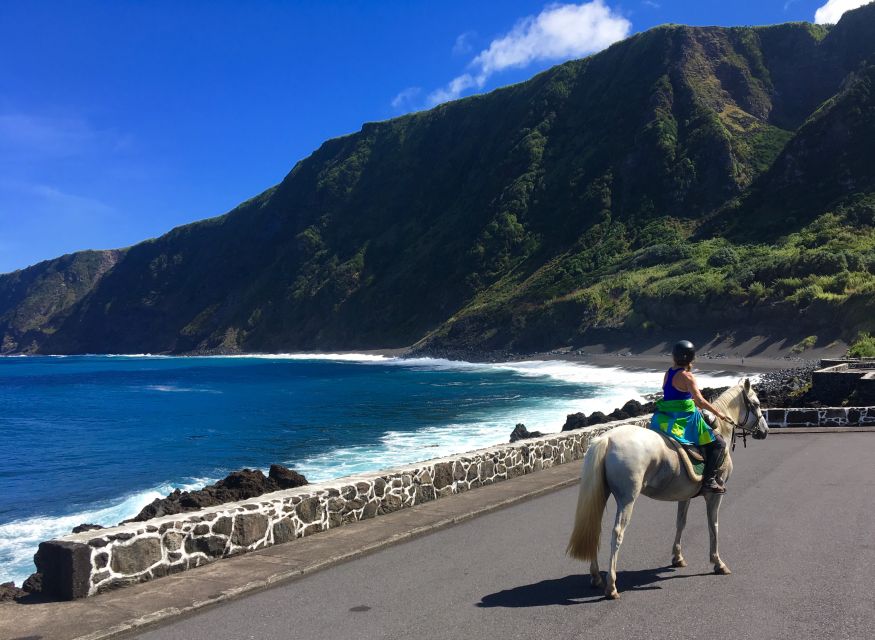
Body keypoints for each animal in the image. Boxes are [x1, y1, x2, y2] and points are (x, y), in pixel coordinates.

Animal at [568, 378, 768, 596]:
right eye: (756, 404)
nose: (764, 431)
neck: (719, 428)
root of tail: (607, 438)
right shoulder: (715, 496)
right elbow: (713, 525)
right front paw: (718, 562)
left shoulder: (684, 495)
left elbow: (681, 523)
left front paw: (677, 557)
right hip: (627, 499)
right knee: (617, 533)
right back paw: (611, 585)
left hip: (602, 494)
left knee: (594, 528)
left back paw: (596, 576)